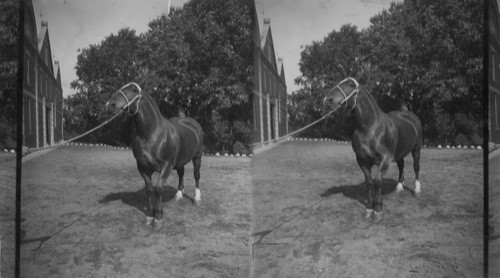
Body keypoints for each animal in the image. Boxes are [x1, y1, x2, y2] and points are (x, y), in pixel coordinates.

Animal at [107, 82, 203, 230]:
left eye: (132, 90)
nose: (110, 104)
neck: (152, 134)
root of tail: (192, 123)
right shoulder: (142, 167)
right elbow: (150, 190)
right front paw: (149, 216)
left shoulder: (166, 165)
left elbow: (158, 189)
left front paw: (158, 218)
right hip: (180, 161)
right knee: (181, 173)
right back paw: (178, 196)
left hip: (197, 157)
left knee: (196, 175)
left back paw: (197, 199)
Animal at [324, 77, 422, 222]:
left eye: (350, 84)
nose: (328, 99)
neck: (371, 127)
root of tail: (409, 115)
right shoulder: (362, 160)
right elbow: (369, 182)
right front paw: (370, 208)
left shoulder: (385, 159)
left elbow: (378, 181)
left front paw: (378, 210)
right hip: (399, 152)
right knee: (401, 165)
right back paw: (398, 188)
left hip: (416, 149)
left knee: (416, 167)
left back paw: (416, 191)